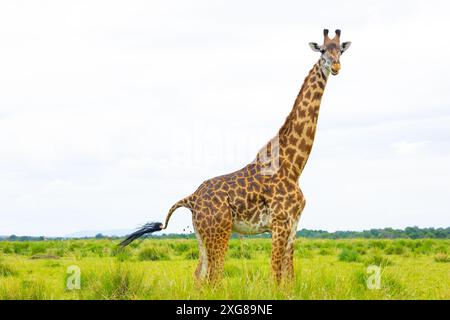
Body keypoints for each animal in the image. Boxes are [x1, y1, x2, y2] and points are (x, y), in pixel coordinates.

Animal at [120, 29, 352, 282]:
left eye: (340, 50)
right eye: (322, 50)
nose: (336, 66)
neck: (294, 165)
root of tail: (191, 198)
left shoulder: (293, 225)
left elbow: (289, 278)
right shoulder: (279, 224)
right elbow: (275, 276)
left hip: (202, 236)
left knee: (198, 276)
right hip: (219, 232)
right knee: (213, 277)